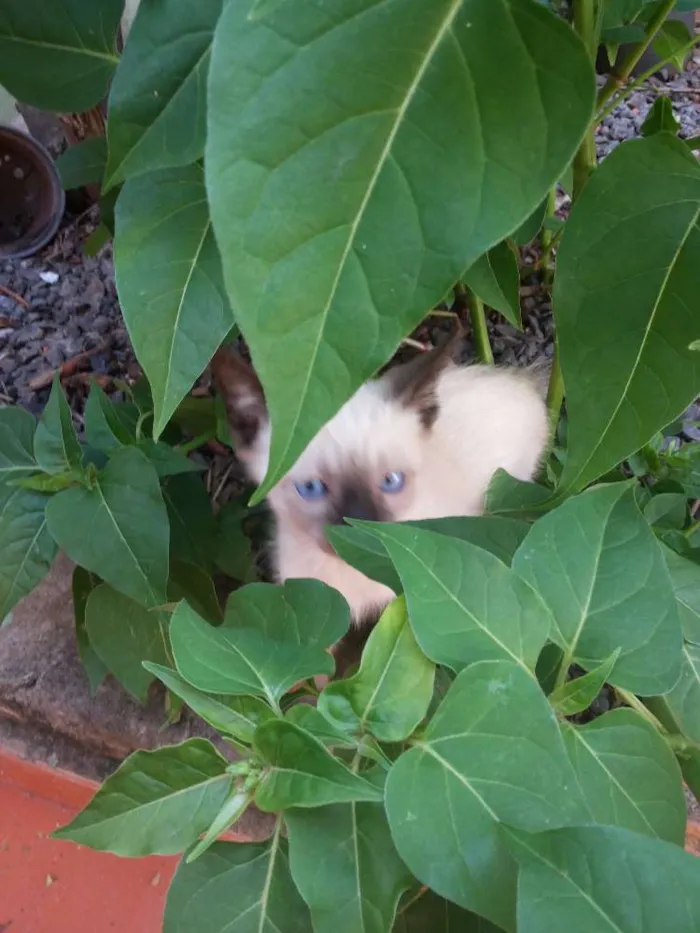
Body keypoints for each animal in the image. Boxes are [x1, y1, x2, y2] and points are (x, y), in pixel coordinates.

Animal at [211, 340, 548, 628]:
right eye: (311, 489)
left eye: (391, 481)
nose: (359, 528)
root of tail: (521, 382)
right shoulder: (315, 610)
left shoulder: (404, 603)